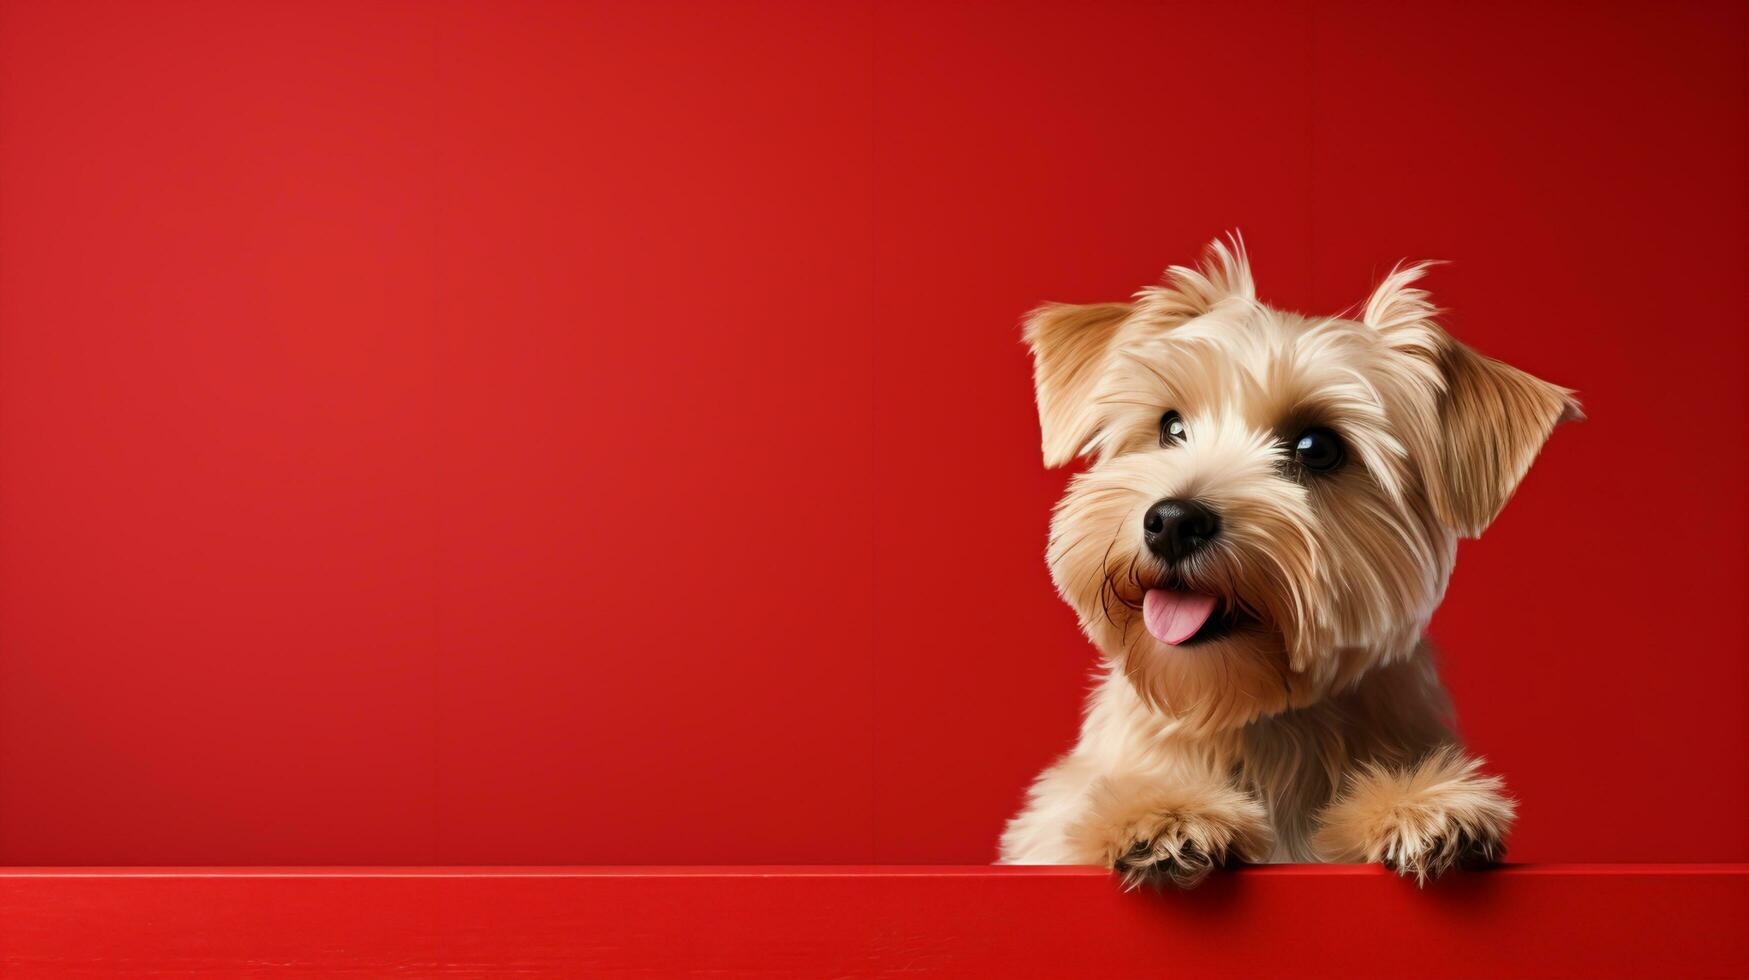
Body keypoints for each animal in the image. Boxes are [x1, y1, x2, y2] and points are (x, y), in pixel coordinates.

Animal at [1000, 238, 1588, 889]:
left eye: (1318, 447)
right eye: (1170, 425)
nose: (1174, 521)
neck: (1258, 722)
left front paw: (1422, 806)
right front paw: (1163, 812)